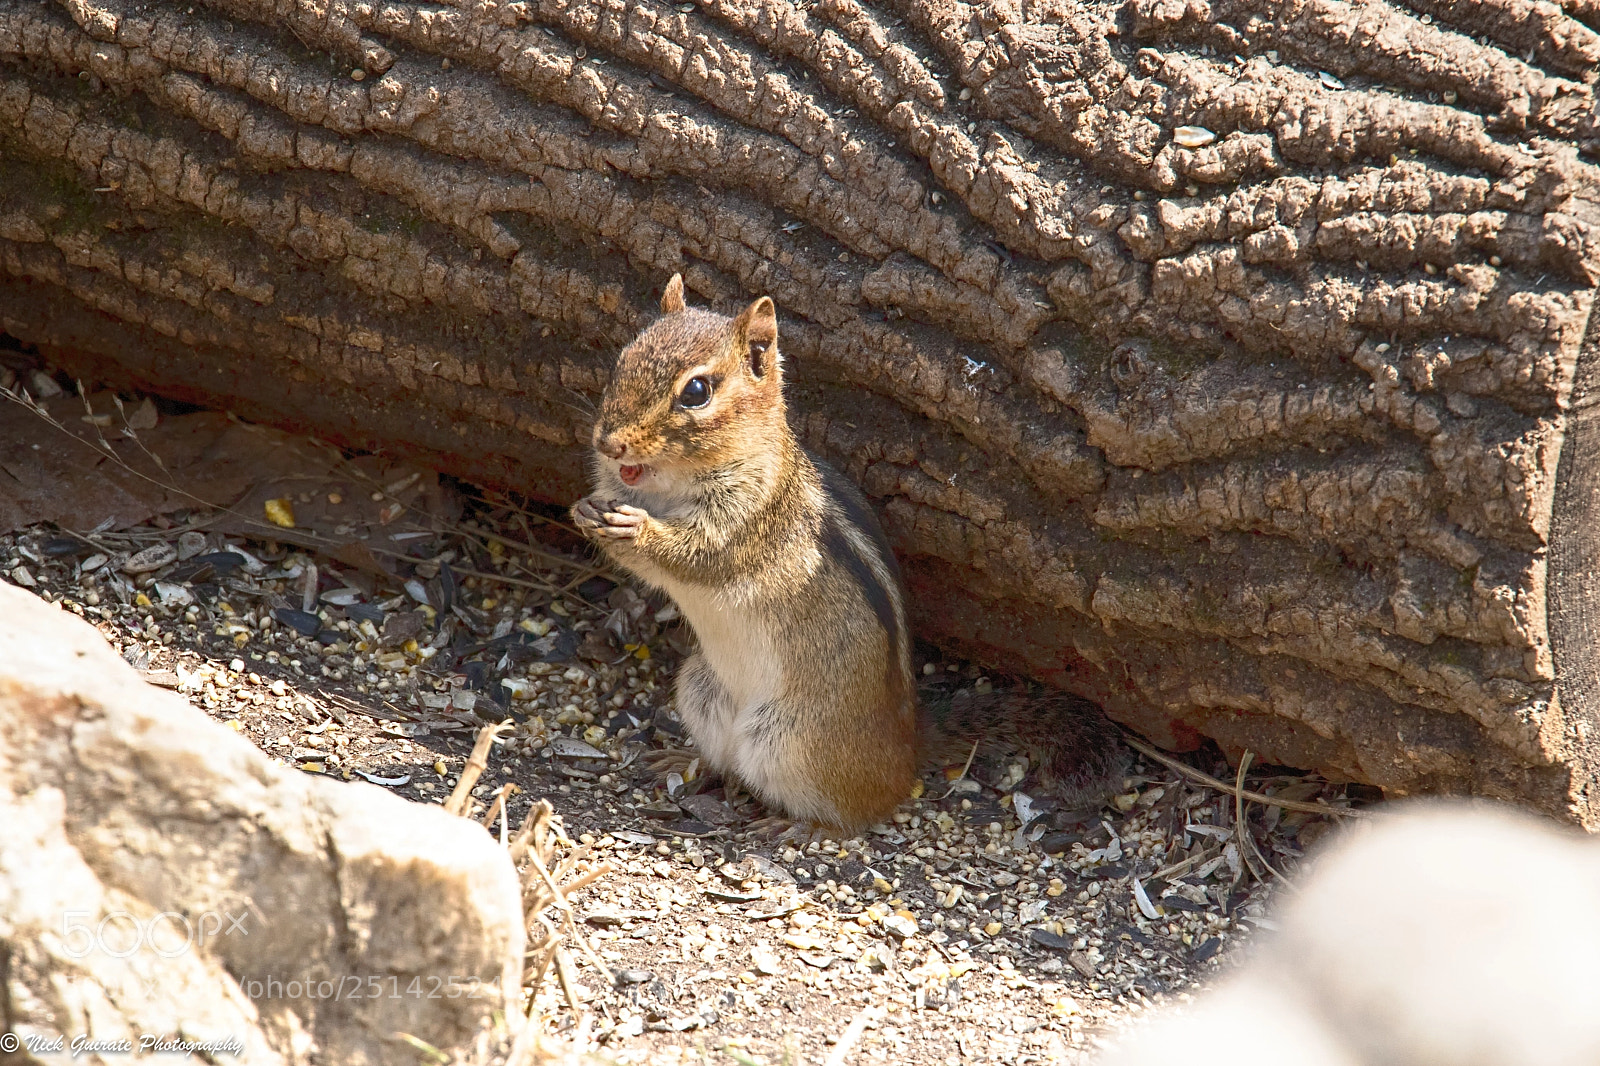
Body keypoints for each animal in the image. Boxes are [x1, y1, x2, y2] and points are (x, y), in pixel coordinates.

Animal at [572, 274, 1126, 833]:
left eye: (696, 392)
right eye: (622, 360)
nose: (609, 443)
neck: (668, 489)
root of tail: (908, 743)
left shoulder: (750, 518)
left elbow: (698, 554)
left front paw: (636, 529)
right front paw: (584, 510)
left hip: (794, 743)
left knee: (855, 811)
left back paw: (799, 824)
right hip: (700, 692)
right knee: (724, 760)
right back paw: (686, 760)